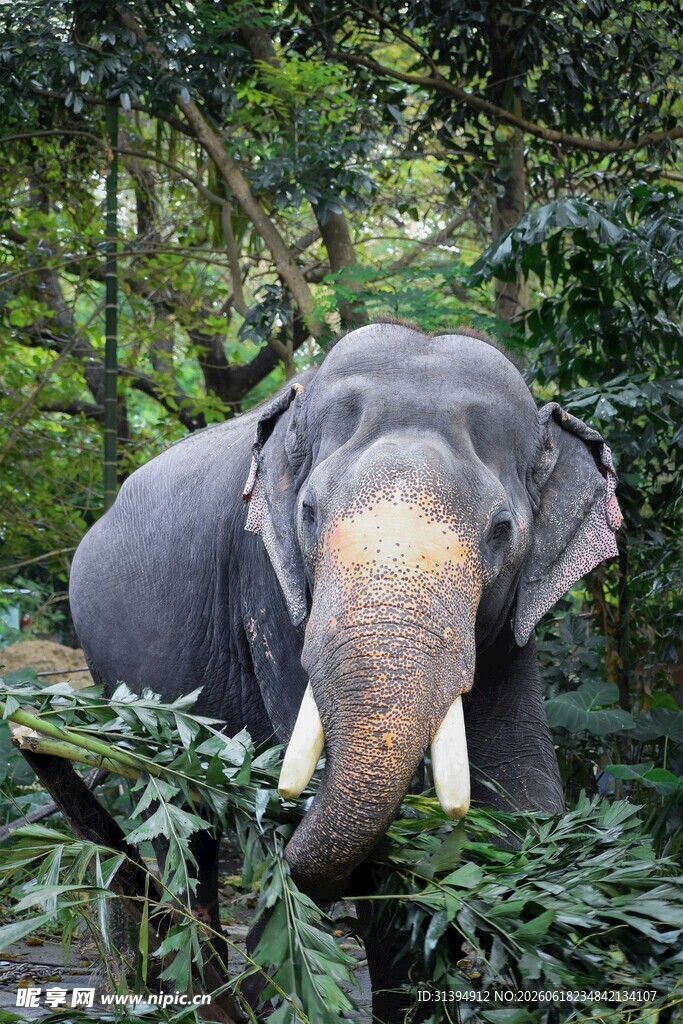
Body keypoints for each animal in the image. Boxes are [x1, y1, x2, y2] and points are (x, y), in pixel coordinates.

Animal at [68, 321, 622, 1020]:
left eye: (501, 530)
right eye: (308, 513)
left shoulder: (512, 623)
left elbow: (522, 782)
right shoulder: (266, 580)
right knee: (177, 821)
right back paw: (200, 994)